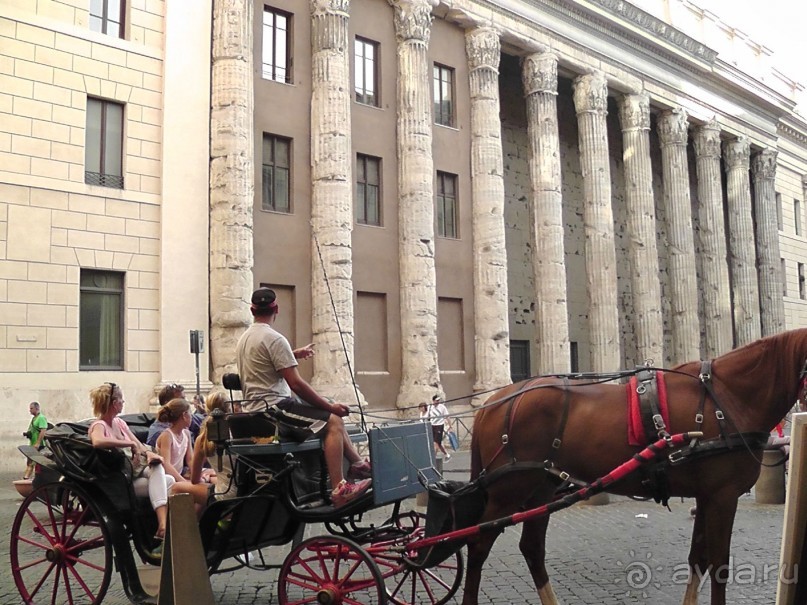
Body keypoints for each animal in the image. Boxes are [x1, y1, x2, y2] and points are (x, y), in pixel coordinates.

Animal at [464, 330, 804, 604]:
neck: (726, 399)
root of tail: (494, 401)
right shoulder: (723, 495)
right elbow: (719, 565)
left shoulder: (707, 496)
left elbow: (698, 558)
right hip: (508, 492)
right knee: (477, 544)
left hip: (541, 489)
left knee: (532, 548)